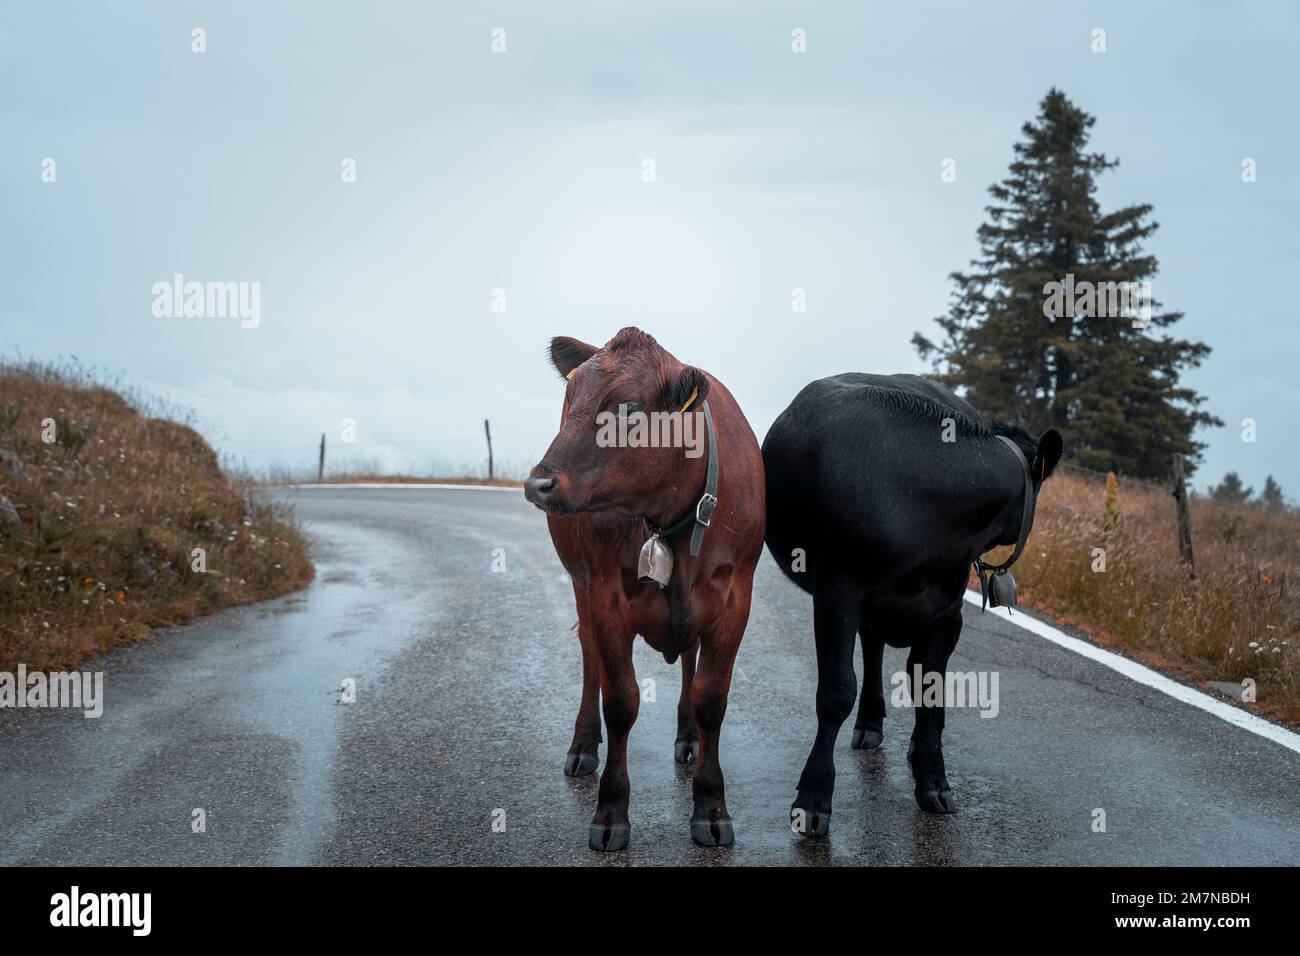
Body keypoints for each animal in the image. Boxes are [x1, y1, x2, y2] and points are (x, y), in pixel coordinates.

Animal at [525, 330, 764, 853]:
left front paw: (711, 806)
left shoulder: (735, 598)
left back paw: (687, 737)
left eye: (629, 409)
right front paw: (611, 813)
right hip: (579, 584)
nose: (538, 482)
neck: (671, 519)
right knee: (589, 657)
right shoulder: (605, 598)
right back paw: (583, 746)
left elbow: (711, 699)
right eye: (571, 396)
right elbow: (620, 703)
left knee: (689, 662)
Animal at [759, 374, 1055, 837]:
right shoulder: (838, 593)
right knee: (871, 650)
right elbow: (836, 692)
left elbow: (930, 689)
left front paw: (933, 780)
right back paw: (868, 726)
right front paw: (813, 799)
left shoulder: (947, 609)